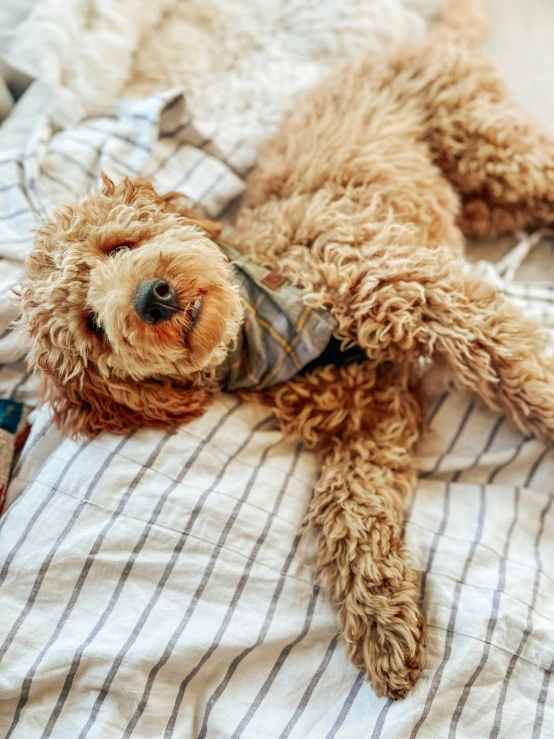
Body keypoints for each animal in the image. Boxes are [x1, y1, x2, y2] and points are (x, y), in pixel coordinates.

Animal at [17, 1, 554, 700]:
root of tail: (412, 45)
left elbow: (516, 365)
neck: (266, 325)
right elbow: (345, 512)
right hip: (481, 191)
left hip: (485, 144)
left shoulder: (414, 289)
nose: (153, 298)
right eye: (92, 326)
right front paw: (382, 623)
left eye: (119, 246)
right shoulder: (369, 422)